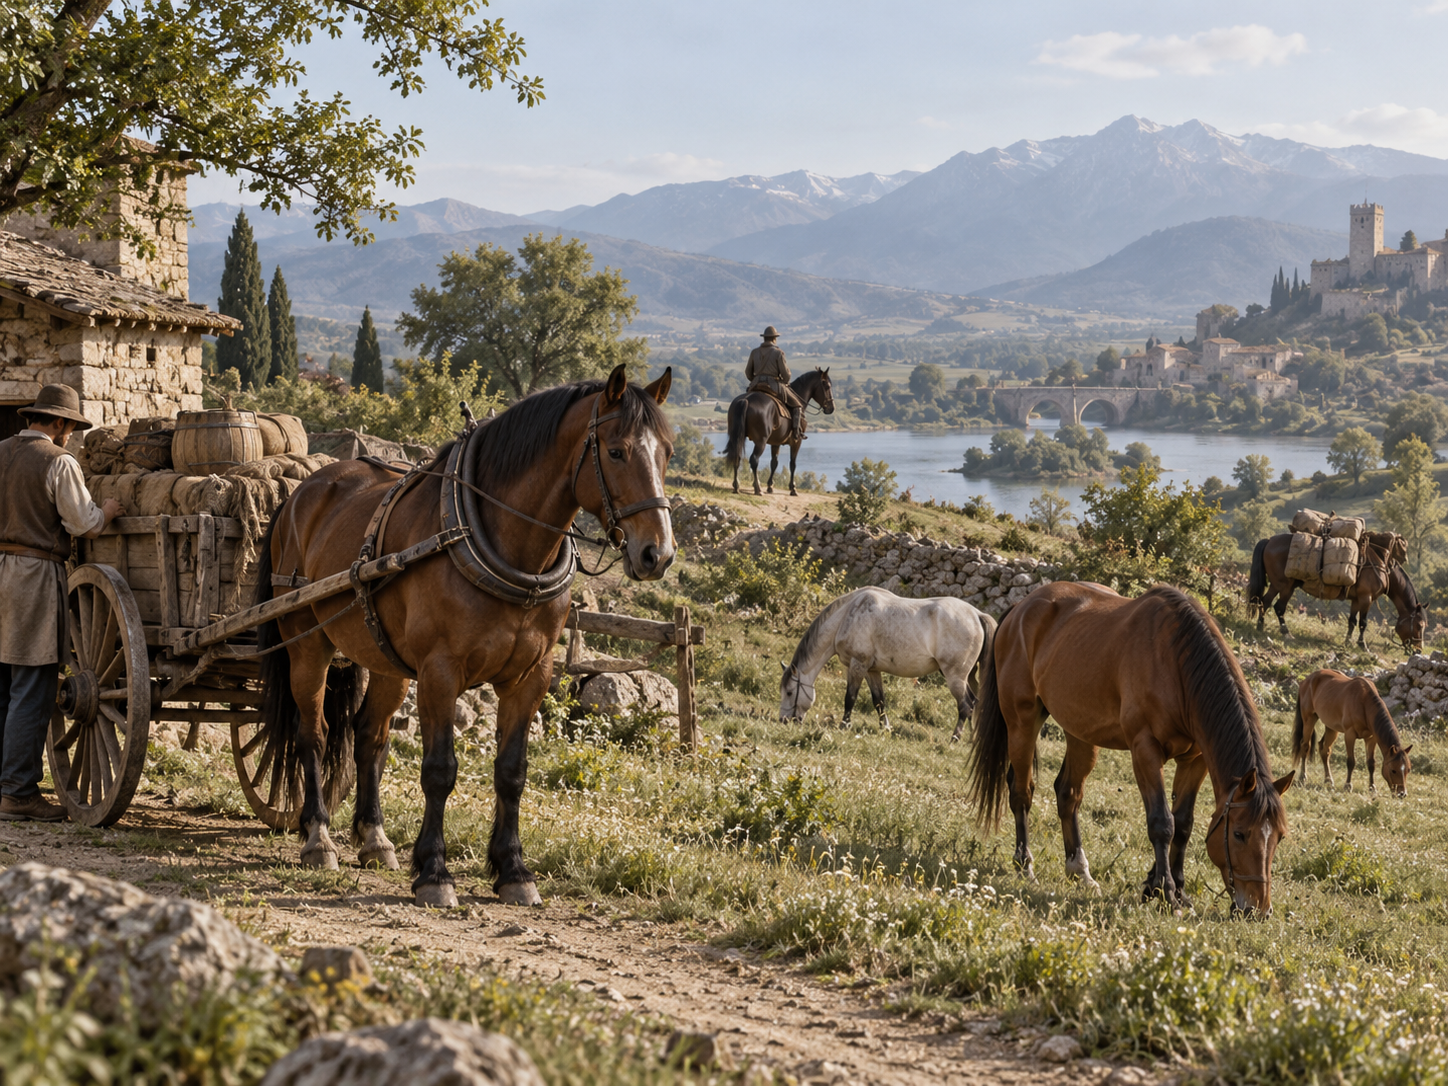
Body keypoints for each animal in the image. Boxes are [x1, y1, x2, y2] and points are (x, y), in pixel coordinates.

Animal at [253, 365, 676, 907]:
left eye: (666, 453)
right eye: (617, 451)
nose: (657, 554)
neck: (503, 545)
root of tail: (302, 492)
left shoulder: (530, 677)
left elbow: (511, 772)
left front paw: (513, 869)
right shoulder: (440, 671)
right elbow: (439, 770)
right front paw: (434, 871)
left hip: (386, 660)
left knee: (369, 737)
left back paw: (374, 837)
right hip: (307, 644)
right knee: (314, 734)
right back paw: (318, 837)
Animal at [724, 368, 834, 496]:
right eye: (827, 386)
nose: (831, 408)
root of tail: (745, 400)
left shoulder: (775, 443)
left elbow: (774, 463)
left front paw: (770, 486)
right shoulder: (796, 442)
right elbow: (792, 464)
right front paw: (793, 488)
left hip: (737, 438)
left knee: (737, 456)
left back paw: (736, 486)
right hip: (761, 441)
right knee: (754, 460)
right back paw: (757, 488)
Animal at [778, 587, 996, 738]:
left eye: (789, 692)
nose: (784, 720)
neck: (849, 615)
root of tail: (977, 615)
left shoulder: (857, 665)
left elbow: (850, 698)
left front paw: (844, 725)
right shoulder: (871, 670)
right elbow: (879, 701)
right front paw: (886, 728)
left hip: (955, 677)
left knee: (966, 706)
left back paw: (955, 738)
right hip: (967, 676)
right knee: (975, 703)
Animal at [967, 581, 1293, 915]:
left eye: (1279, 837)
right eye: (1239, 834)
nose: (1257, 910)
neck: (1177, 662)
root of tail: (1020, 608)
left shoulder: (1195, 759)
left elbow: (1183, 824)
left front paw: (1172, 888)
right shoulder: (1145, 750)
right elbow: (1162, 822)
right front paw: (1165, 890)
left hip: (1080, 733)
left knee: (1068, 794)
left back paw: (1079, 870)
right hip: (1022, 722)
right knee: (1022, 792)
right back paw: (1025, 865)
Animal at [1248, 531, 1424, 652]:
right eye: (1420, 625)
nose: (1418, 650)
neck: (1379, 564)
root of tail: (1269, 540)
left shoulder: (1356, 599)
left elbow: (1352, 621)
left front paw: (1347, 642)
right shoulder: (1366, 598)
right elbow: (1363, 623)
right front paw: (1363, 645)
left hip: (1277, 585)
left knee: (1265, 602)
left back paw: (1260, 627)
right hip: (1285, 586)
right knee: (1278, 607)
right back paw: (1286, 633)